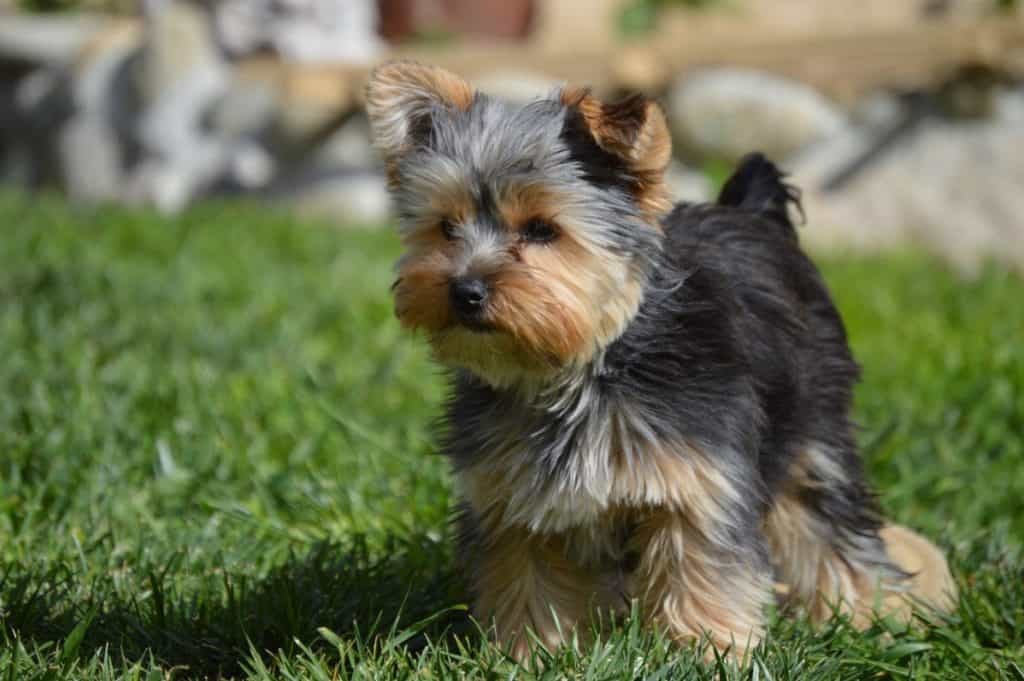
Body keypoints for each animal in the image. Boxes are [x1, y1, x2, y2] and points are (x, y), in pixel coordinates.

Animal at [364, 62, 954, 659]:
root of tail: (750, 213)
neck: (584, 368)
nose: (465, 291)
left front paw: (705, 652)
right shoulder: (512, 494)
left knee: (826, 521)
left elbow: (703, 571)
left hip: (815, 424)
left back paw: (859, 615)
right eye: (446, 226)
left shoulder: (699, 481)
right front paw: (528, 653)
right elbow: (525, 575)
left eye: (542, 229)